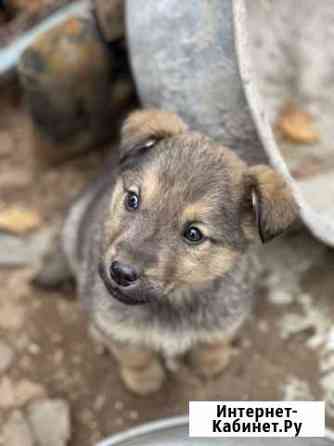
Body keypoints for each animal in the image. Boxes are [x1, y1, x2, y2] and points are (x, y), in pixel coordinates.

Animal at [43, 110, 298, 396]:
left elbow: (215, 340)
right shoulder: (113, 322)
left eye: (194, 234)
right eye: (132, 200)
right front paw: (145, 381)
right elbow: (134, 353)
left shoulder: (228, 314)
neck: (174, 301)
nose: (120, 272)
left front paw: (211, 363)